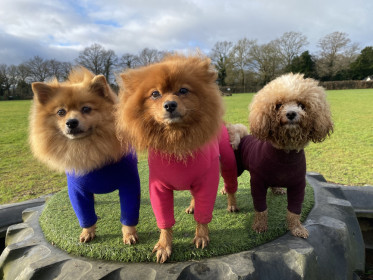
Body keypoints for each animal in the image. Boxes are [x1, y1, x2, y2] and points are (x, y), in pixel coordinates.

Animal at [29, 67, 141, 245]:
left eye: (86, 109)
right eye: (61, 112)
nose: (71, 122)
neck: (87, 149)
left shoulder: (129, 184)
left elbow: (128, 215)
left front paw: (129, 234)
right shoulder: (77, 191)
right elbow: (85, 215)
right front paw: (88, 232)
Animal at [115, 54, 224, 262]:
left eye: (183, 90)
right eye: (155, 94)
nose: (170, 104)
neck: (176, 142)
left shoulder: (207, 181)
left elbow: (203, 214)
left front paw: (201, 236)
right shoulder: (159, 188)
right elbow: (165, 222)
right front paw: (164, 246)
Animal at [228, 73, 332, 237]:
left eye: (302, 105)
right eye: (278, 105)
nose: (291, 113)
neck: (285, 152)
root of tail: (242, 135)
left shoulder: (298, 184)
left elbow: (295, 210)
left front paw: (296, 228)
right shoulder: (257, 183)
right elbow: (261, 209)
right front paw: (260, 226)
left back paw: (277, 189)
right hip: (236, 168)